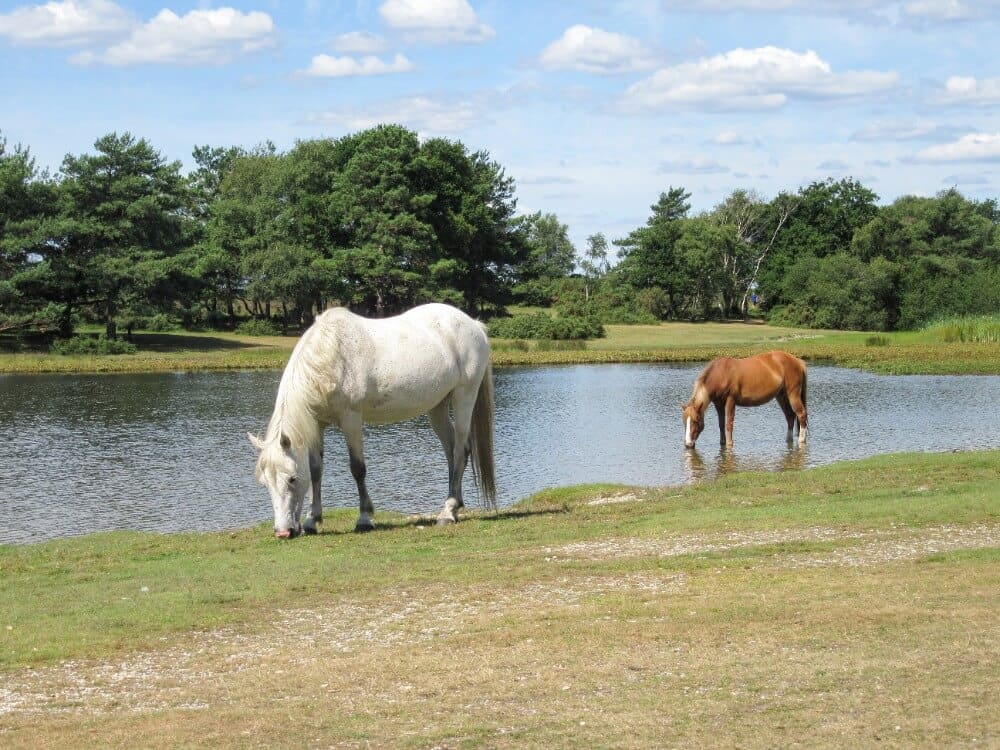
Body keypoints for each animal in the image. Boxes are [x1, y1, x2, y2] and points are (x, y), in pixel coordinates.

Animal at [247, 303, 496, 538]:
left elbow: (358, 468)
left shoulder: (351, 420)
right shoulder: (316, 425)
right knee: (452, 452)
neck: (329, 354)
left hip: (464, 396)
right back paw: (454, 506)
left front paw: (364, 519)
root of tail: (474, 325)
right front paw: (312, 521)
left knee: (459, 451)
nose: (283, 532)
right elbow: (316, 470)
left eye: (291, 479)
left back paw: (448, 512)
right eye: (265, 482)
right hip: (437, 407)